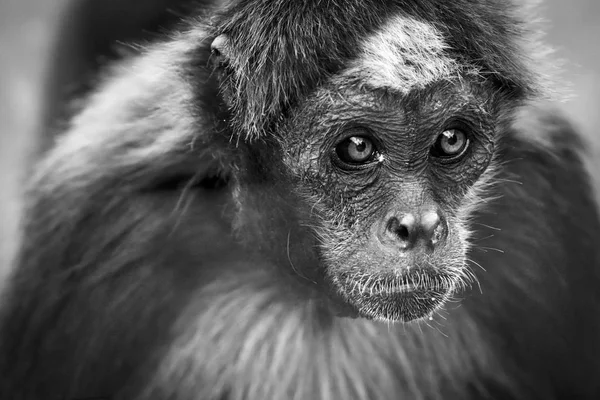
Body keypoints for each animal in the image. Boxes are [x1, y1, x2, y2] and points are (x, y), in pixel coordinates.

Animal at [1, 0, 600, 400]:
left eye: (451, 140)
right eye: (356, 148)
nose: (420, 225)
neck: (316, 303)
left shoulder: (546, 203)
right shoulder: (100, 224)